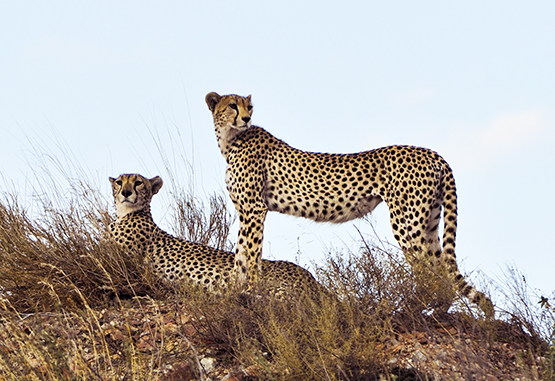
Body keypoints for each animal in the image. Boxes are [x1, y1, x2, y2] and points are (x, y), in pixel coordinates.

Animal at [109, 173, 326, 300]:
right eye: (119, 182)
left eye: (138, 182)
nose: (126, 192)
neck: (126, 213)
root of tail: (310, 276)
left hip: (276, 289)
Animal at [206, 90, 494, 316]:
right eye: (232, 105)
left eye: (249, 106)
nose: (246, 118)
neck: (230, 139)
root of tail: (432, 152)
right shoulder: (246, 211)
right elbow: (240, 254)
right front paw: (234, 291)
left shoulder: (255, 209)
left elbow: (251, 253)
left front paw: (250, 291)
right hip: (430, 219)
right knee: (439, 268)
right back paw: (437, 309)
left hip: (407, 221)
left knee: (428, 270)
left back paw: (412, 310)